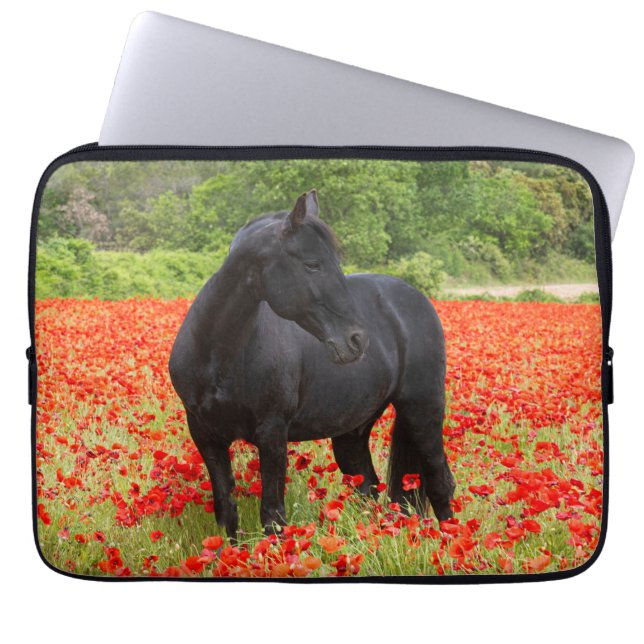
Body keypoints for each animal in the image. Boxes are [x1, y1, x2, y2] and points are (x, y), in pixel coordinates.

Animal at [169, 189, 455, 538]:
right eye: (313, 265)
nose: (357, 340)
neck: (218, 354)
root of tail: (415, 298)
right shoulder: (206, 435)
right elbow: (227, 512)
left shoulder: (272, 433)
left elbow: (272, 517)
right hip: (353, 431)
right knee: (369, 489)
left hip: (423, 409)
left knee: (440, 482)